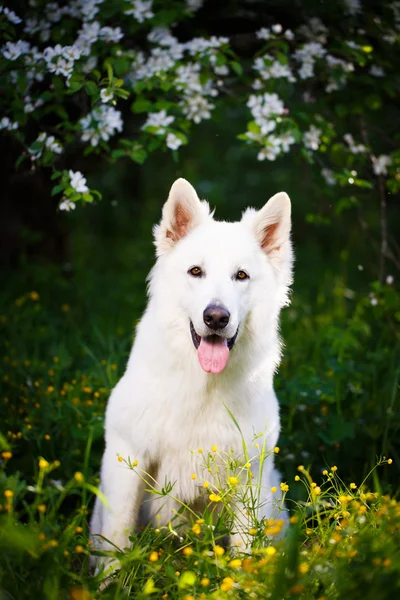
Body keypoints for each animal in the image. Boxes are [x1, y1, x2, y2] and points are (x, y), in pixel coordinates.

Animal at [92, 178, 294, 568]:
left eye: (241, 275)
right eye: (196, 271)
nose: (216, 317)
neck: (204, 386)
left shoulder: (250, 476)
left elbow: (244, 549)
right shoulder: (127, 459)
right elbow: (117, 538)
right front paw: (109, 579)